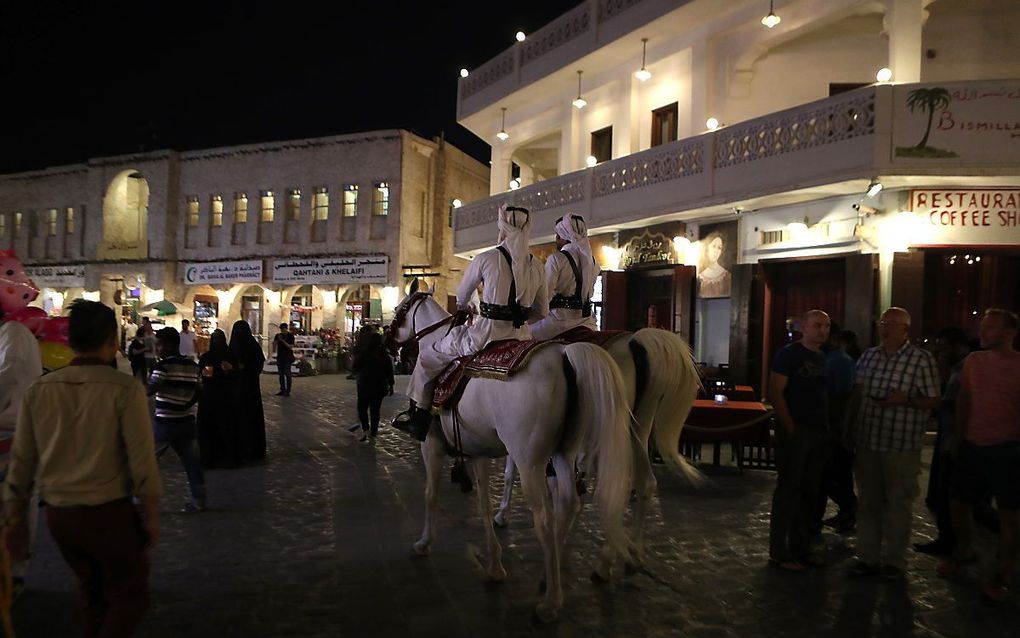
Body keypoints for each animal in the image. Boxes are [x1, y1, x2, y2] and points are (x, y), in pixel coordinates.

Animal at [385, 293, 632, 620]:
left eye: (399, 309)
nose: (387, 342)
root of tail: (565, 354)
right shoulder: (476, 452)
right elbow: (484, 505)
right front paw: (494, 565)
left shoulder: (432, 447)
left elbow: (431, 495)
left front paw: (424, 542)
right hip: (563, 454)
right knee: (570, 504)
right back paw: (550, 576)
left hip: (530, 462)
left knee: (545, 519)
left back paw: (551, 602)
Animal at [491, 326, 701, 563]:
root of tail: (634, 342)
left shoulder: (521, 439)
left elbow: (510, 473)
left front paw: (502, 514)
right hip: (637, 430)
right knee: (643, 482)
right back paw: (631, 552)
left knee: (617, 486)